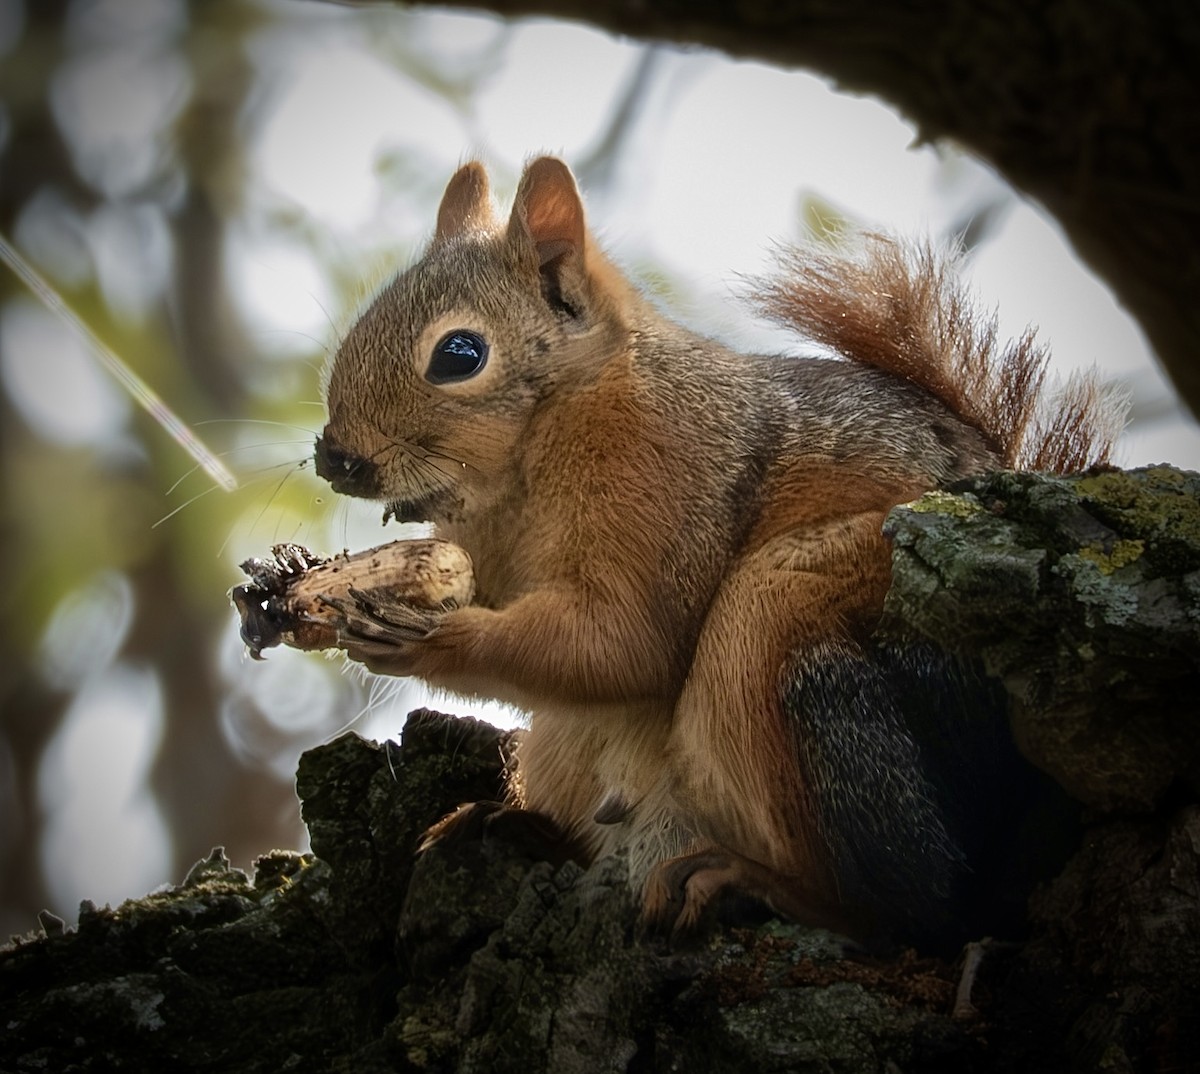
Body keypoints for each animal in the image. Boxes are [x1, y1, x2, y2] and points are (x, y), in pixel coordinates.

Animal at [313, 156, 1124, 951]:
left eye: (460, 354)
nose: (334, 458)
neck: (529, 456)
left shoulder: (665, 474)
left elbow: (626, 642)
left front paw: (429, 636)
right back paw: (513, 825)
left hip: (788, 621)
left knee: (919, 913)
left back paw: (755, 884)